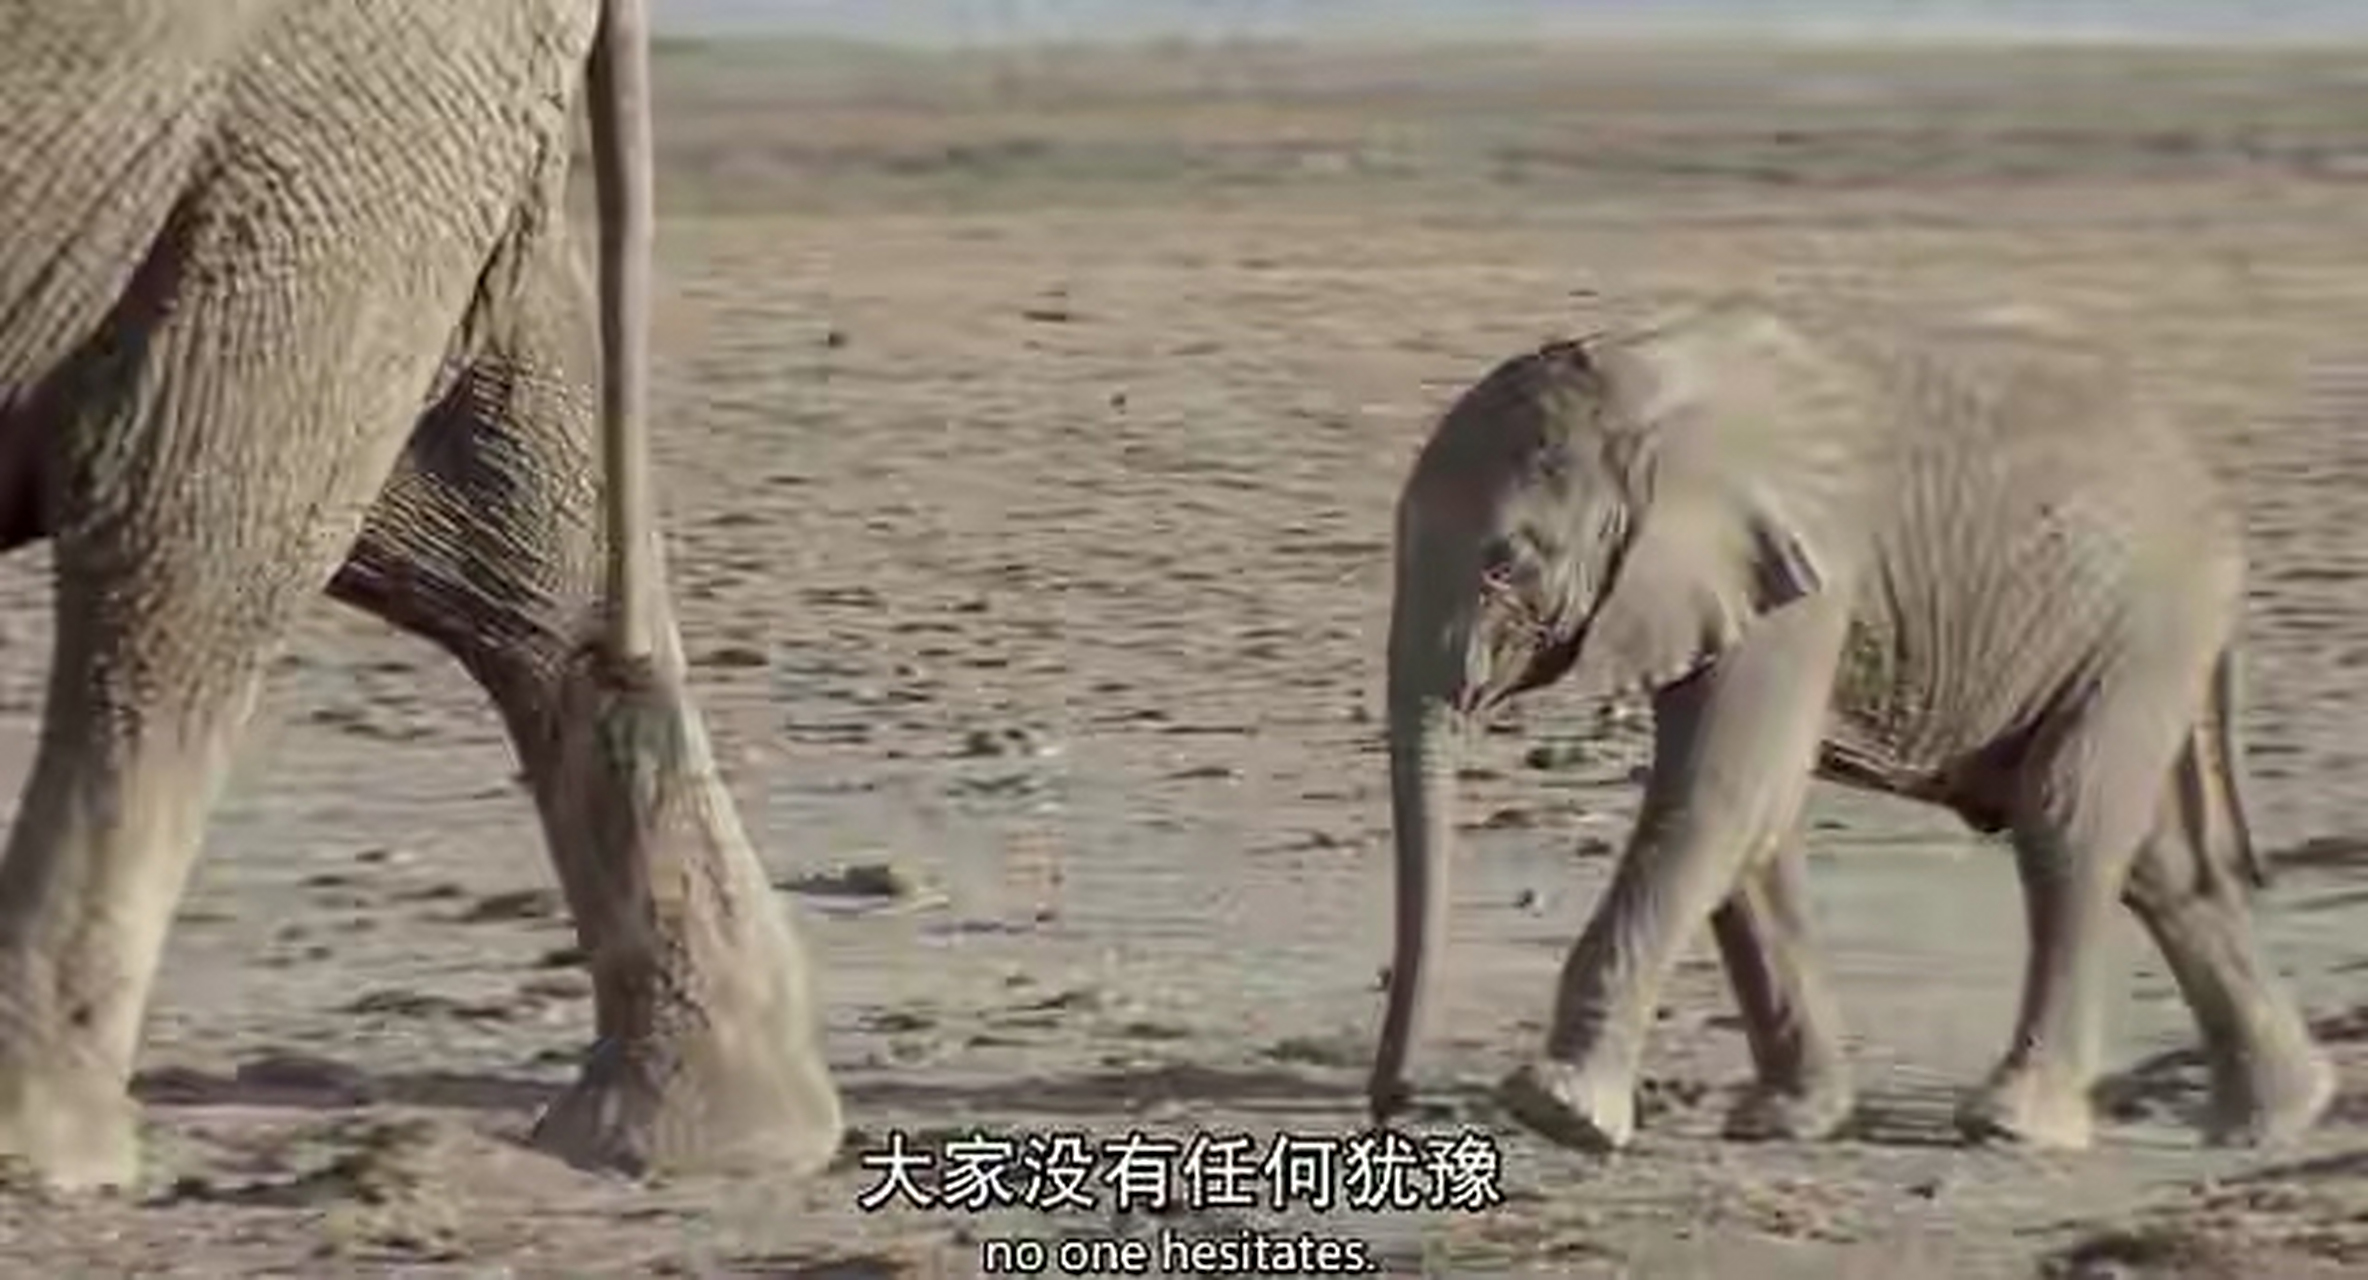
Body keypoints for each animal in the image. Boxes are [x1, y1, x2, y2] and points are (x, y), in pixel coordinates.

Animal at [1366, 299, 2336, 1155]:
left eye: (1505, 566)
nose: (1395, 1107)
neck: (1638, 389)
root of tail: (2198, 471)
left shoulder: (1801, 579)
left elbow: (1719, 791)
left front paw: (1559, 1113)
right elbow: (1751, 811)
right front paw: (1784, 1123)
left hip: (2146, 621)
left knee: (2067, 825)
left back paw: (2014, 1128)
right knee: (2159, 864)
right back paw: (2275, 1120)